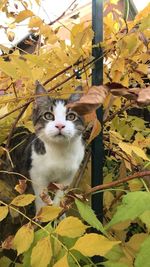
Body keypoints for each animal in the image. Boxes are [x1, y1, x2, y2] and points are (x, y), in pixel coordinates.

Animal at [8, 83, 85, 214]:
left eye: (71, 116)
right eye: (48, 115)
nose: (60, 125)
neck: (59, 151)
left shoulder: (68, 177)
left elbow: (60, 195)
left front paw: (58, 211)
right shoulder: (37, 175)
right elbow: (41, 198)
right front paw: (42, 214)